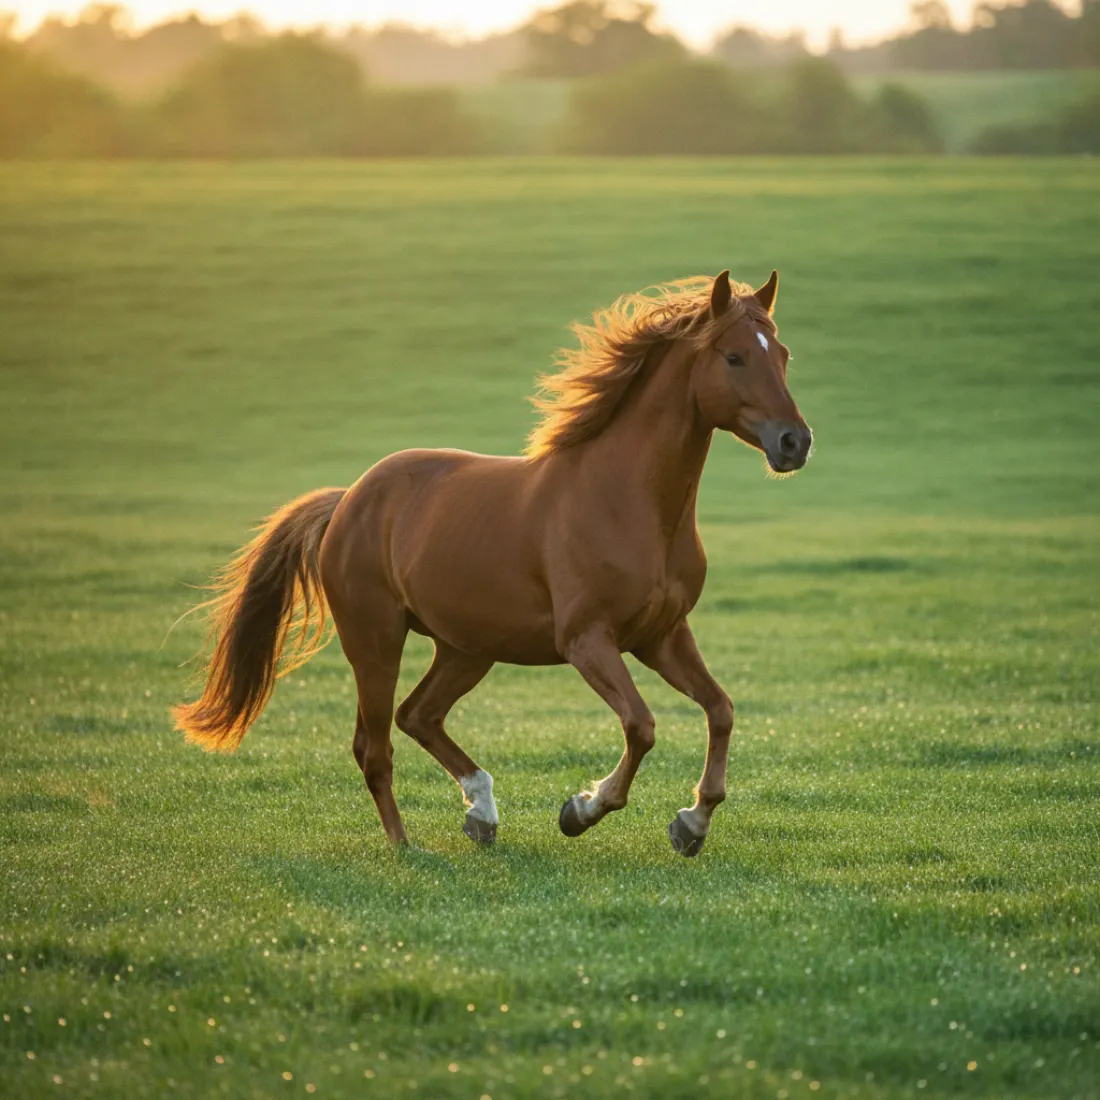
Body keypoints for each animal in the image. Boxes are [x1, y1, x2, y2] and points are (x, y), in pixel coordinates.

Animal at [173, 269, 812, 857]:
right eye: (734, 356)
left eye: (782, 355)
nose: (794, 443)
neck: (628, 501)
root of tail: (349, 499)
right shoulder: (587, 640)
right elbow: (641, 725)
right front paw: (582, 810)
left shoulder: (662, 636)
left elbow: (720, 710)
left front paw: (691, 823)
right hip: (375, 639)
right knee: (374, 745)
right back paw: (407, 847)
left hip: (467, 648)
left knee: (418, 715)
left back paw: (481, 813)